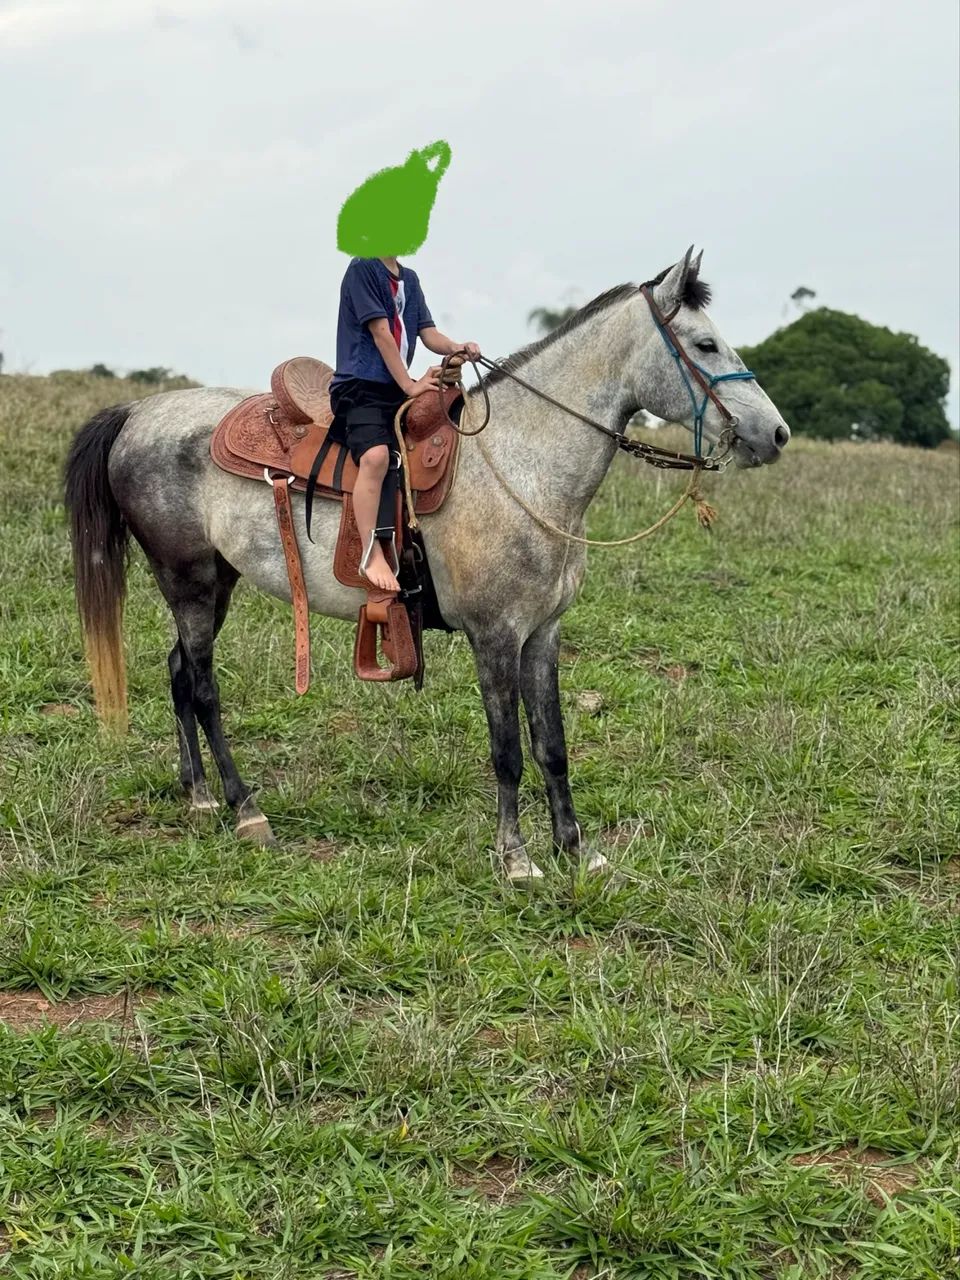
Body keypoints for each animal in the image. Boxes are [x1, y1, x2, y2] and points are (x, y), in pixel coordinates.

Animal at [64, 248, 790, 881]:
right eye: (705, 346)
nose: (776, 434)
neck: (522, 466)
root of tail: (138, 411)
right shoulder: (494, 636)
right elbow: (507, 752)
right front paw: (516, 859)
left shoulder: (543, 633)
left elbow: (551, 745)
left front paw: (577, 850)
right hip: (186, 578)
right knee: (204, 685)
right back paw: (245, 807)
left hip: (216, 580)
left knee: (178, 672)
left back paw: (198, 795)